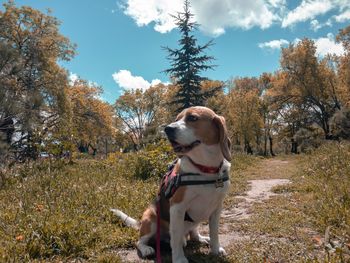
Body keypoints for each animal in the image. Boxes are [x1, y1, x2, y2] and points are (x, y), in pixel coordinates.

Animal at [112, 106, 231, 262]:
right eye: (176, 119)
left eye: (193, 118)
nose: (167, 129)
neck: (205, 169)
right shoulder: (177, 207)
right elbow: (175, 238)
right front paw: (179, 258)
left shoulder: (217, 208)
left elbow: (214, 233)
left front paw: (215, 250)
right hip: (151, 218)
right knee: (141, 241)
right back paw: (147, 249)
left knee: (193, 233)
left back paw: (201, 238)